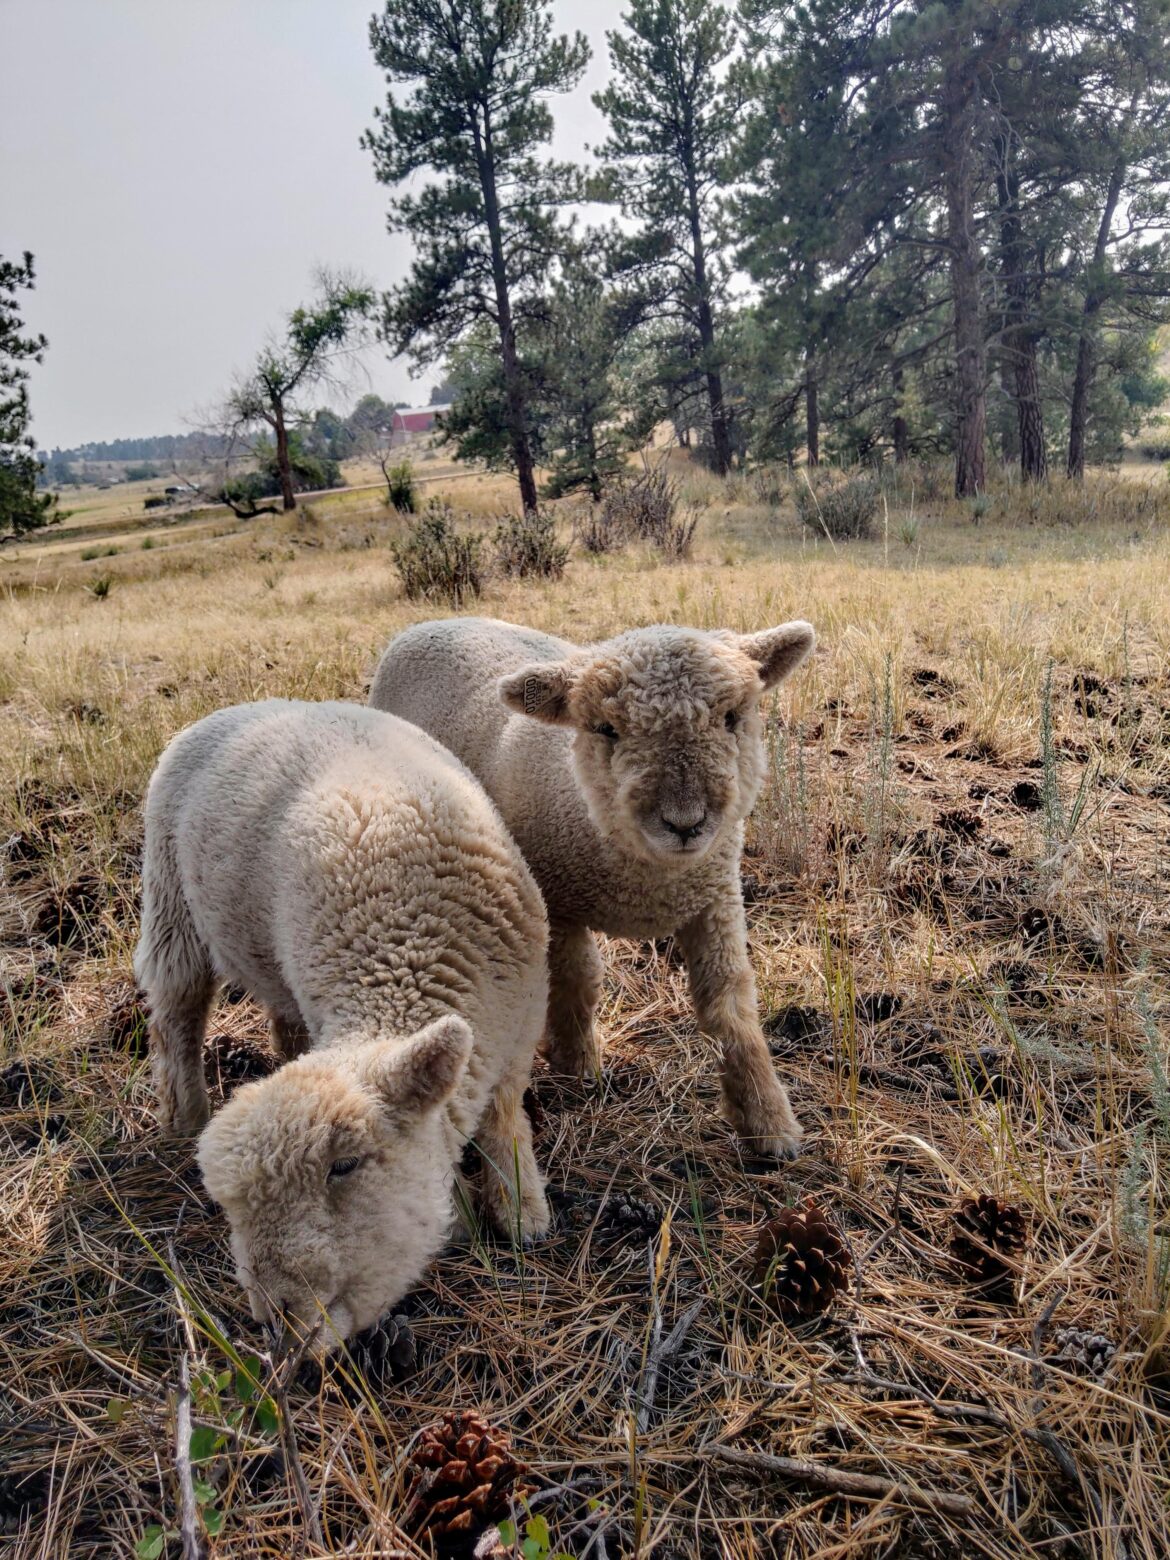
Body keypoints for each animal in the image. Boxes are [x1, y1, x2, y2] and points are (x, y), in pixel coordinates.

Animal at [133, 699, 550, 1350]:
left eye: (344, 1166)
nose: (278, 1320)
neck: (406, 958)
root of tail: (237, 708)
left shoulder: (522, 1026)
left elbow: (506, 1120)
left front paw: (521, 1211)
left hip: (256, 949)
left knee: (271, 1017)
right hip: (171, 899)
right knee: (177, 1014)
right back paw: (184, 1118)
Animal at [369, 616, 816, 1160]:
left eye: (732, 717)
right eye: (606, 729)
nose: (685, 823)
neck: (649, 884)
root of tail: (432, 622)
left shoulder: (716, 896)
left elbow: (729, 1000)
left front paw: (768, 1119)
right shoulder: (555, 901)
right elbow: (578, 978)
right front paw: (577, 1062)